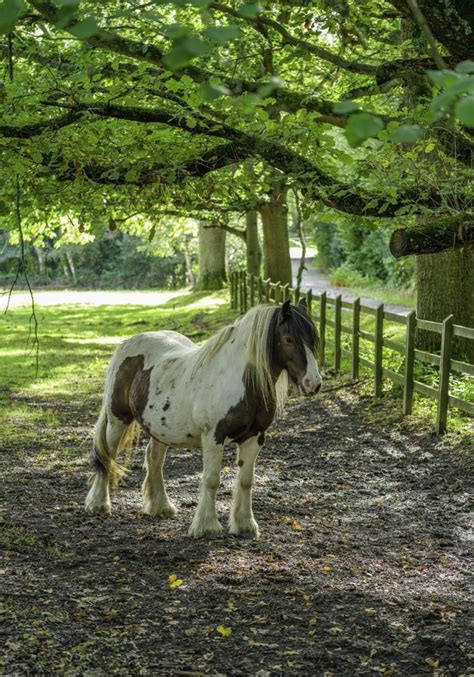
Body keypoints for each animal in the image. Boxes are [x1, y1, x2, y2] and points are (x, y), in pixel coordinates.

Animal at [85, 298, 322, 536]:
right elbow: (211, 480)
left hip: (159, 429)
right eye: (288, 339)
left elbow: (246, 480)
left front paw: (245, 524)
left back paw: (161, 506)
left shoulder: (254, 437)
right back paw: (99, 503)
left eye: (313, 338)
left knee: (154, 459)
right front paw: (207, 525)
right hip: (117, 419)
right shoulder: (213, 437)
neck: (240, 381)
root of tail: (128, 343)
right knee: (106, 455)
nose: (313, 383)